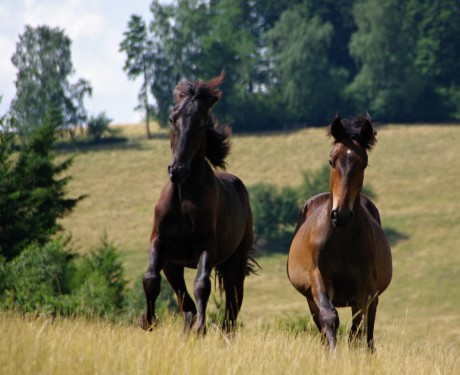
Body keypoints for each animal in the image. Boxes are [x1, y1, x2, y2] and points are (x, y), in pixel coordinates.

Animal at [142, 73, 256, 334]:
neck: (183, 198)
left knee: (231, 309)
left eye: (203, 123)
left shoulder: (206, 246)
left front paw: (201, 328)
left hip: (235, 264)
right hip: (174, 265)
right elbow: (151, 279)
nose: (178, 170)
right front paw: (148, 321)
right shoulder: (160, 242)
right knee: (186, 305)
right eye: (172, 118)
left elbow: (202, 285)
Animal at [288, 116, 392, 352]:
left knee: (368, 330)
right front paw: (333, 353)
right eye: (331, 160)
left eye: (364, 163)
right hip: (311, 298)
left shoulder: (364, 288)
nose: (341, 215)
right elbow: (329, 317)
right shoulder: (319, 277)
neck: (342, 240)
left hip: (372, 297)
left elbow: (357, 327)